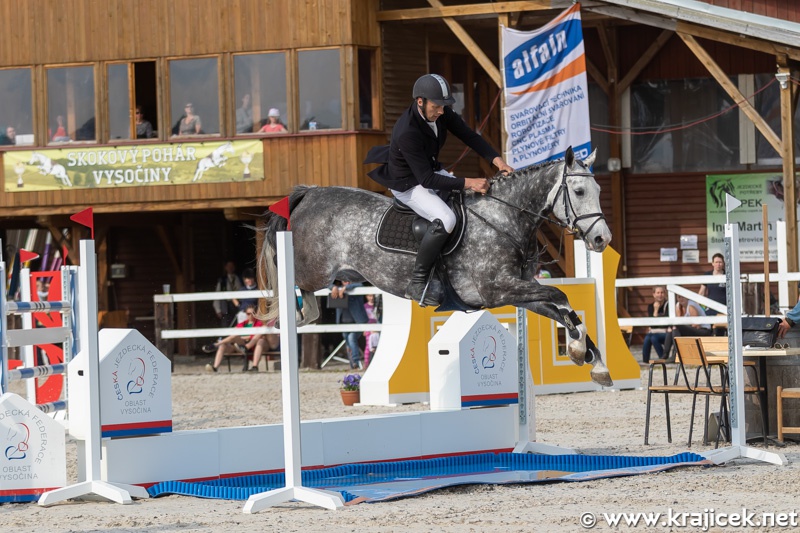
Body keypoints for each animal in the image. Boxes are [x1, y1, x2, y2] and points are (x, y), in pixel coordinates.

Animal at [259, 147, 614, 386]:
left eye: (598, 190)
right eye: (579, 191)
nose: (602, 239)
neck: (505, 218)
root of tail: (310, 194)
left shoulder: (517, 292)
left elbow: (563, 309)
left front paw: (591, 359)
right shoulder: (497, 290)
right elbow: (561, 297)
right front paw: (582, 351)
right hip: (315, 269)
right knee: (293, 287)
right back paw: (288, 318)